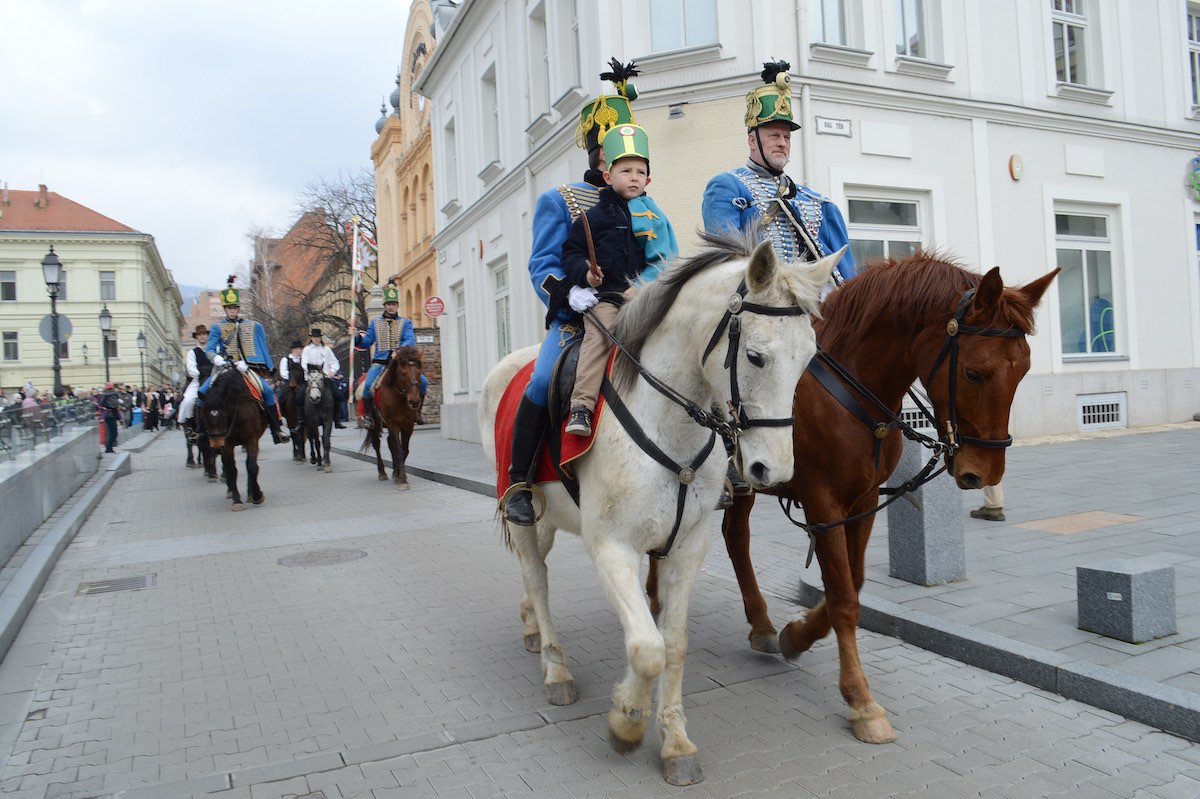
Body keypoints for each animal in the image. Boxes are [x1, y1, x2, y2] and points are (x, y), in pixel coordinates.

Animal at [202, 364, 271, 506]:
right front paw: (237, 500)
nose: (216, 446)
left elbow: (252, 466)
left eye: (223, 415)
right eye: (204, 417)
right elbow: (232, 469)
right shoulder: (227, 444)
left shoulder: (251, 440)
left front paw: (256, 495)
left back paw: (250, 493)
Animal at [360, 345, 422, 489]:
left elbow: (404, 450)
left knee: (390, 443)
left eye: (419, 372)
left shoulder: (407, 426)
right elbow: (399, 451)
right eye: (403, 373)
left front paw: (398, 475)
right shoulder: (394, 424)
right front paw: (403, 480)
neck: (400, 397)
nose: (414, 401)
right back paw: (382, 472)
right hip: (375, 425)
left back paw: (394, 472)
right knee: (377, 445)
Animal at [475, 231, 835, 782]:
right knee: (537, 577)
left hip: (548, 516)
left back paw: (532, 626)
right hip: (521, 510)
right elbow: (647, 648)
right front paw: (626, 721)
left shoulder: (687, 546)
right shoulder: (612, 547)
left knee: (534, 574)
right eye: (755, 357)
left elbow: (672, 643)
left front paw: (675, 741)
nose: (772, 470)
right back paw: (556, 668)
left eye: (809, 357)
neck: (668, 418)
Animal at [652, 251, 1056, 743]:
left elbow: (854, 583)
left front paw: (797, 634)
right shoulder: (823, 503)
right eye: (974, 372)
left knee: (734, 537)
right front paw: (861, 700)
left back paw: (758, 623)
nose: (983, 472)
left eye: (1024, 370)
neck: (853, 392)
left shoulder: (862, 502)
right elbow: (844, 597)